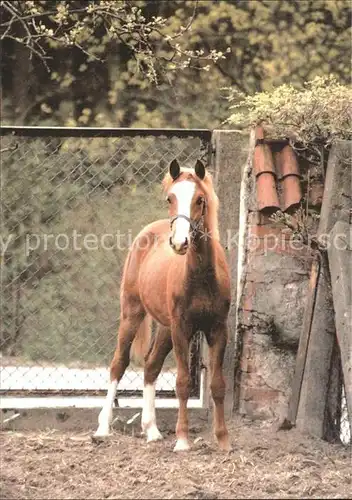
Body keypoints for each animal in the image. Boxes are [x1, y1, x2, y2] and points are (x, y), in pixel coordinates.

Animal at [93, 160, 231, 454]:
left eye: (200, 199)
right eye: (170, 198)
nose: (179, 243)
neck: (202, 278)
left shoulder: (217, 330)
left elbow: (217, 384)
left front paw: (223, 440)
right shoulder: (182, 330)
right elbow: (182, 383)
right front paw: (182, 440)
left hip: (166, 329)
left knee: (151, 366)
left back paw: (152, 430)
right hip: (132, 314)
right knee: (118, 364)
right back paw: (102, 428)